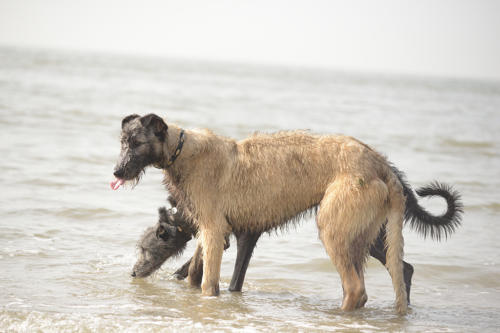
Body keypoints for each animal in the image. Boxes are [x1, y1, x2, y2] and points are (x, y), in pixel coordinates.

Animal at [112, 113, 460, 312]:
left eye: (136, 142)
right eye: (122, 141)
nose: (116, 171)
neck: (182, 150)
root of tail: (381, 164)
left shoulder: (214, 231)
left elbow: (209, 281)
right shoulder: (223, 234)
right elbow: (197, 273)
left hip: (335, 228)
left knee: (356, 288)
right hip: (364, 234)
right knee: (385, 276)